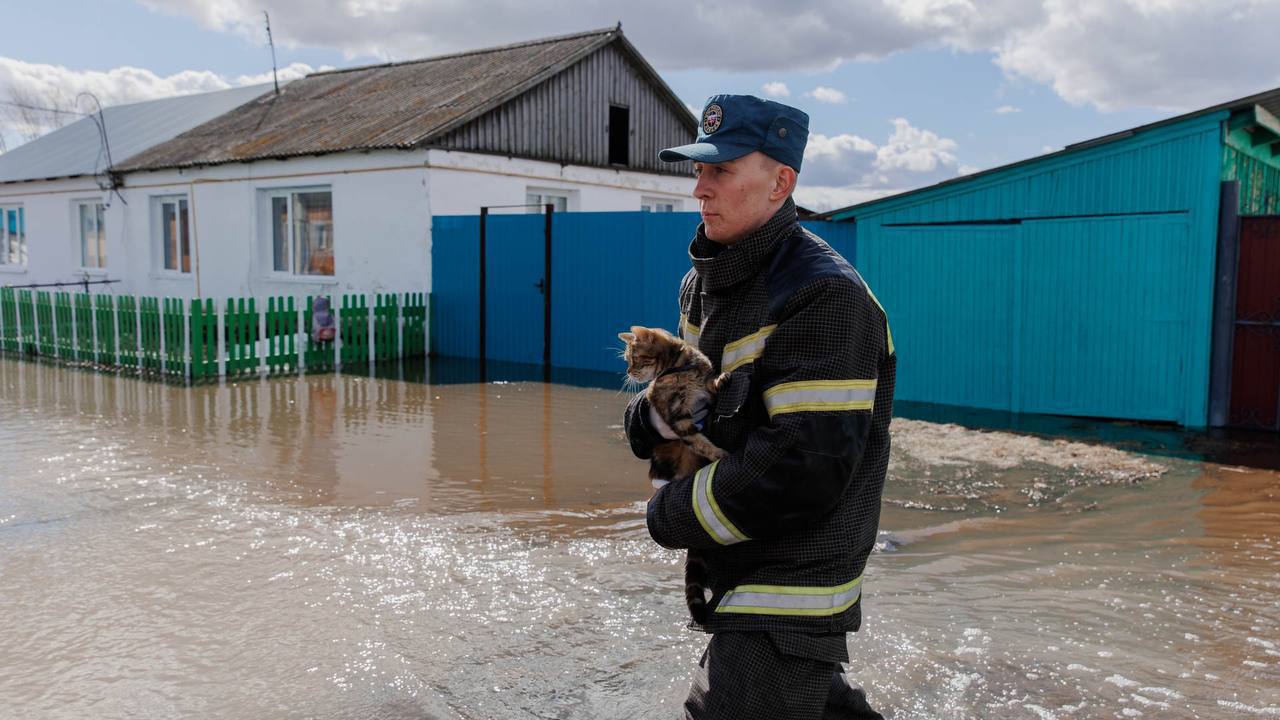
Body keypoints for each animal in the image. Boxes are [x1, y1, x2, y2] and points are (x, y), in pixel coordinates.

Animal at [619, 325, 732, 622]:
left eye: (634, 358)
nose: (629, 373)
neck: (680, 369)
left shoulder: (702, 390)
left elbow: (710, 384)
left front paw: (722, 379)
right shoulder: (677, 419)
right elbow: (699, 440)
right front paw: (719, 454)